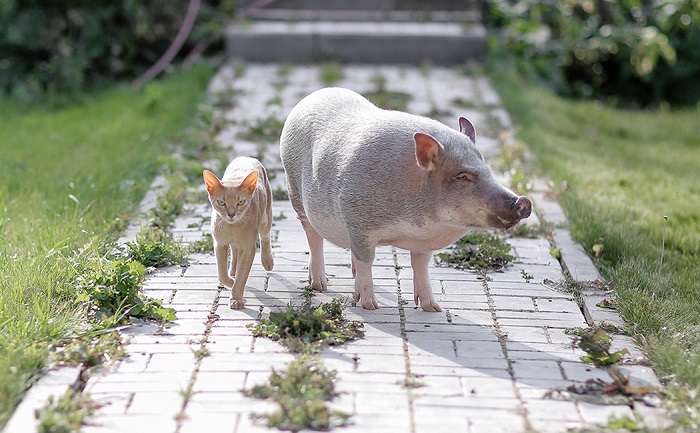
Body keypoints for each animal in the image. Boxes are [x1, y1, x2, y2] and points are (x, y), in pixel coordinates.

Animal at [202, 157, 274, 308]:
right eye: (221, 202)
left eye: (241, 202)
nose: (231, 214)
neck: (232, 228)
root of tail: (247, 157)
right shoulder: (219, 244)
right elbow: (222, 274)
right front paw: (230, 281)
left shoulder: (248, 249)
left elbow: (242, 275)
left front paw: (236, 298)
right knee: (235, 251)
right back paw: (233, 272)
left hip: (266, 218)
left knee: (265, 236)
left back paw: (267, 261)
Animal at [278, 87, 532, 310]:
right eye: (463, 176)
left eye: (488, 170)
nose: (523, 201)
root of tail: (311, 96)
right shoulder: (359, 223)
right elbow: (366, 260)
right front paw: (370, 305)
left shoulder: (423, 240)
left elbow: (421, 266)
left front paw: (433, 308)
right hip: (294, 191)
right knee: (313, 237)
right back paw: (319, 285)